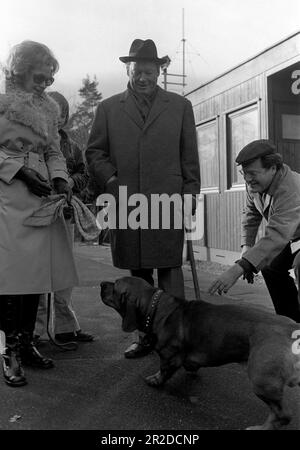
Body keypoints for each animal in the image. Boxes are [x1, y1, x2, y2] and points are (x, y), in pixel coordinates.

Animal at [101, 276, 300, 430]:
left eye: (115, 285)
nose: (102, 283)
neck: (156, 308)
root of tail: (293, 329)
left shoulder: (169, 357)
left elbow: (163, 370)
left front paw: (155, 380)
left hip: (262, 382)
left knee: (282, 415)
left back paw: (261, 428)